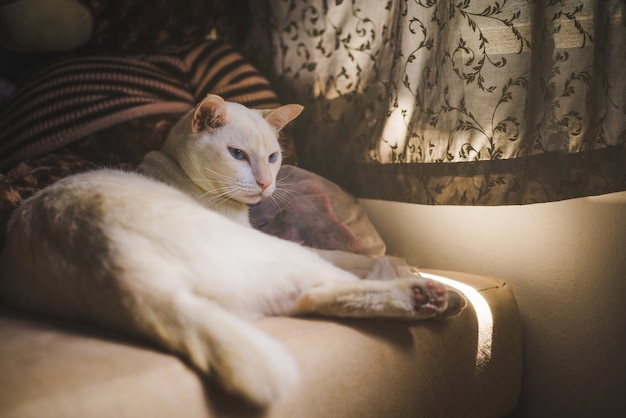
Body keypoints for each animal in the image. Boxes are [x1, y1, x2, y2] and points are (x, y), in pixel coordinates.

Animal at [0, 94, 464, 404]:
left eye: (273, 157)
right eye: (237, 155)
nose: (265, 183)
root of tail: (108, 258)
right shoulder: (276, 241)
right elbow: (350, 258)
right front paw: (401, 265)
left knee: (319, 294)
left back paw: (433, 298)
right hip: (276, 257)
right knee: (338, 280)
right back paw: (435, 294)